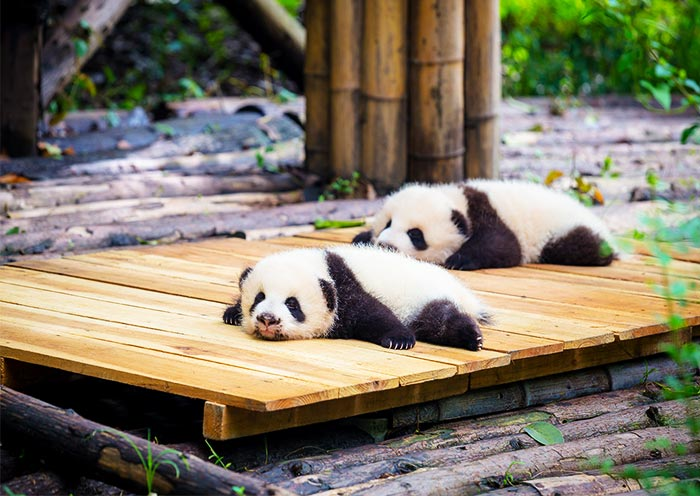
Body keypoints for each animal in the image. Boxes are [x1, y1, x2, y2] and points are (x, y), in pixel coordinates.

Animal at [222, 245, 491, 351]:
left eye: (292, 304)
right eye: (259, 298)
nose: (268, 319)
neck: (320, 264)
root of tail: (461, 290)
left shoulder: (346, 288)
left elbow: (374, 313)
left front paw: (399, 339)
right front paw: (232, 314)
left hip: (426, 297)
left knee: (440, 319)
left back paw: (471, 337)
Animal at [352, 180, 618, 270]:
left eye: (415, 235)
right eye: (387, 223)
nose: (386, 245)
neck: (457, 199)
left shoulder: (488, 215)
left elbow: (504, 246)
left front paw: (459, 260)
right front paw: (362, 238)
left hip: (564, 230)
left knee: (579, 246)